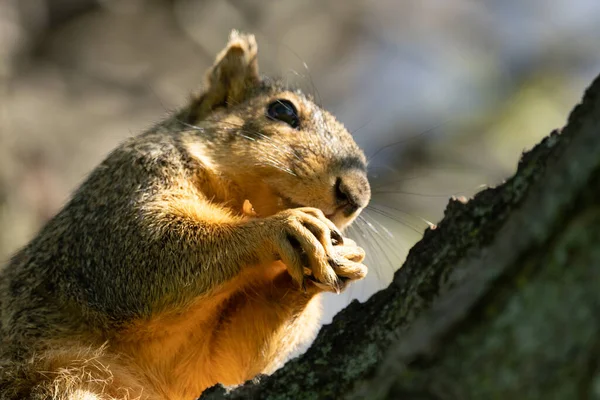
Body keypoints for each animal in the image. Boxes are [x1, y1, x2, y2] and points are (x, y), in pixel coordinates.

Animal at [0, 32, 370, 400]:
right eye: (281, 109)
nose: (355, 195)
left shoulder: (201, 358)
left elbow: (226, 356)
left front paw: (340, 260)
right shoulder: (121, 194)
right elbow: (142, 254)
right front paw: (282, 227)